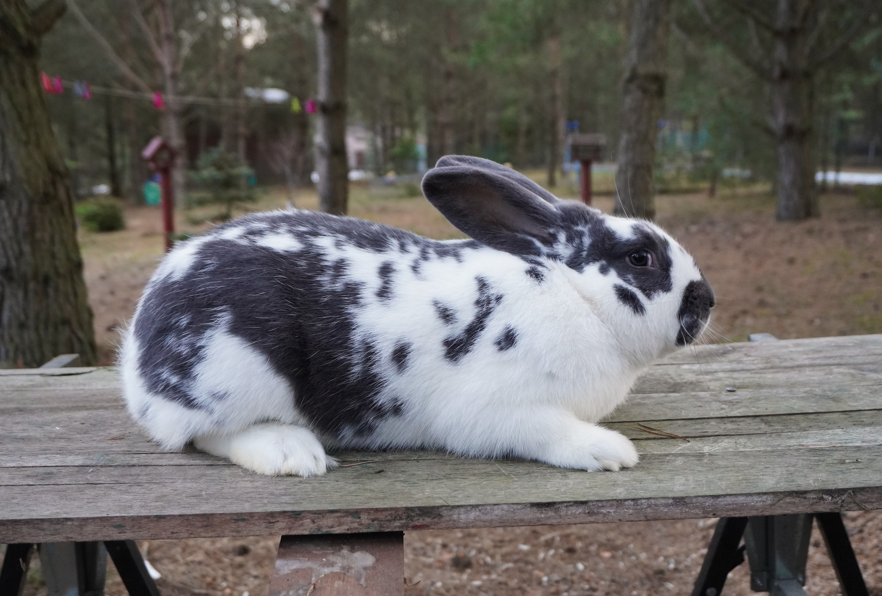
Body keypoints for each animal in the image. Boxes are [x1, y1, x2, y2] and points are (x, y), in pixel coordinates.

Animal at [119, 155, 714, 476]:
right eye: (640, 258)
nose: (707, 301)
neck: (577, 295)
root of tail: (135, 356)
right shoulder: (499, 411)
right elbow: (547, 431)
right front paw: (610, 450)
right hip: (235, 374)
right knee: (203, 434)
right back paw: (294, 452)